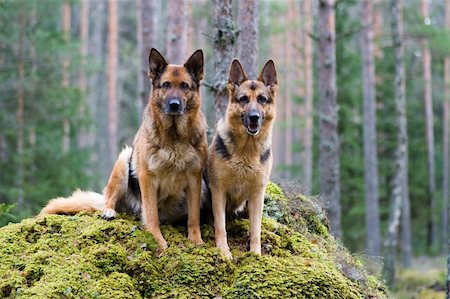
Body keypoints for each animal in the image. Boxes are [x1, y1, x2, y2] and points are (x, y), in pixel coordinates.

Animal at [41, 48, 207, 251]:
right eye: (166, 85)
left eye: (184, 86)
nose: (174, 105)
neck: (174, 137)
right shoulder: (147, 178)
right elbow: (151, 215)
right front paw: (158, 240)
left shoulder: (194, 179)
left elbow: (194, 217)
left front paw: (197, 241)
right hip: (124, 160)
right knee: (110, 200)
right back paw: (109, 211)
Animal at [207, 59, 278, 260]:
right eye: (244, 99)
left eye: (262, 99)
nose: (254, 117)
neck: (246, 150)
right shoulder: (218, 191)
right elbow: (220, 226)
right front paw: (223, 251)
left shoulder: (257, 194)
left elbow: (256, 230)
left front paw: (255, 255)